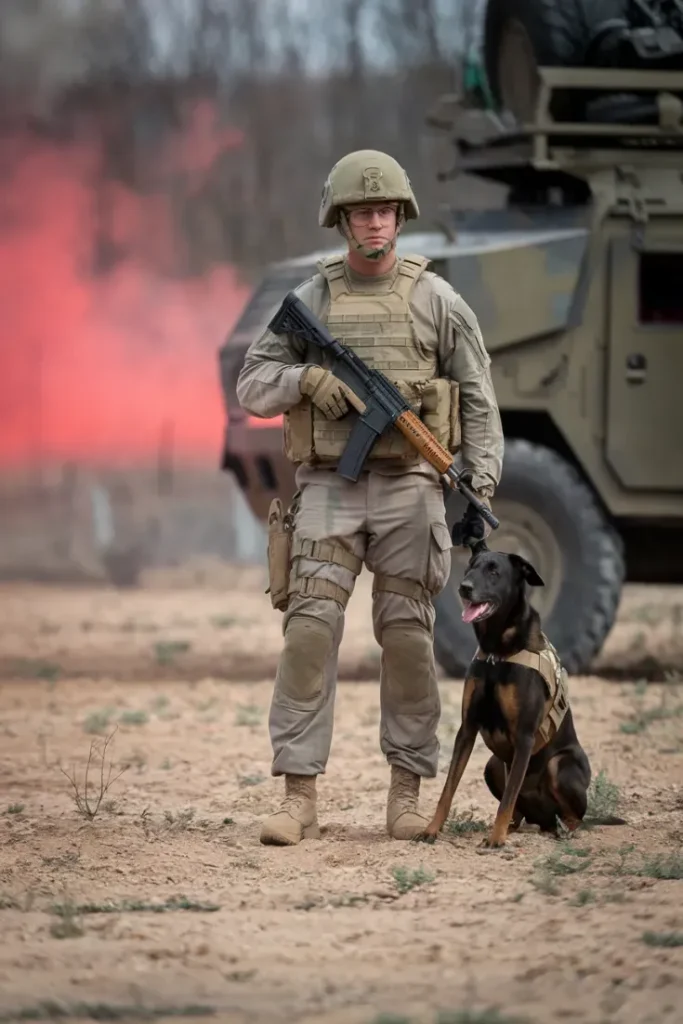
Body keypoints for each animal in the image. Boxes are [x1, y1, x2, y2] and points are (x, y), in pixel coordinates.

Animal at [413, 540, 593, 851]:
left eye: (494, 572)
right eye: (470, 568)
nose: (464, 588)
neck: (497, 652)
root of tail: (544, 819)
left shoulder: (524, 736)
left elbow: (507, 798)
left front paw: (496, 839)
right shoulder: (467, 729)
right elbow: (448, 790)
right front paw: (431, 830)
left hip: (559, 765)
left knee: (574, 816)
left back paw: (561, 830)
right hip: (493, 765)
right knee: (520, 810)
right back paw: (518, 826)